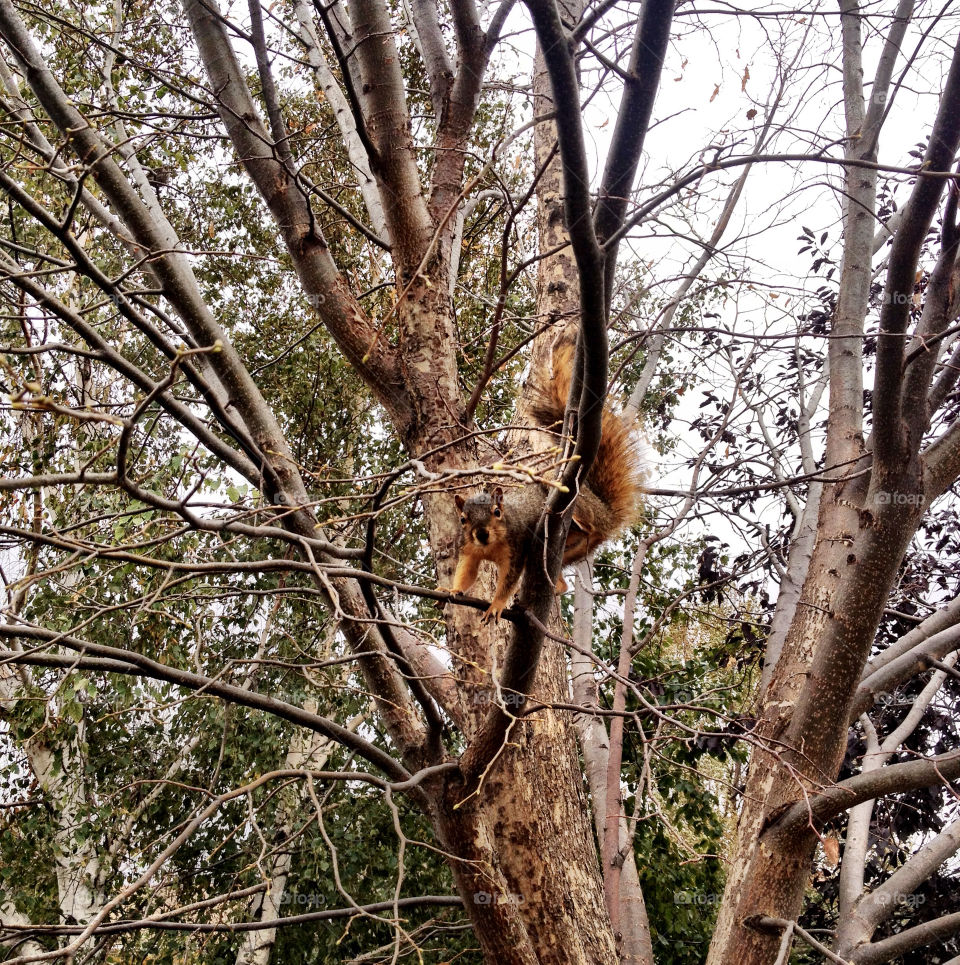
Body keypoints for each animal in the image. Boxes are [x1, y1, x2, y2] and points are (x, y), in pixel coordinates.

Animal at [450, 335, 645, 623]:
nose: (482, 533)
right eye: (463, 519)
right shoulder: (469, 549)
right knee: (561, 580)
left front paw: (496, 605)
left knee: (584, 519)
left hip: (577, 506)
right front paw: (450, 590)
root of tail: (606, 515)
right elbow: (467, 572)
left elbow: (508, 581)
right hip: (568, 551)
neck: (490, 546)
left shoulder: (516, 547)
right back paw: (558, 586)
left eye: (498, 512)